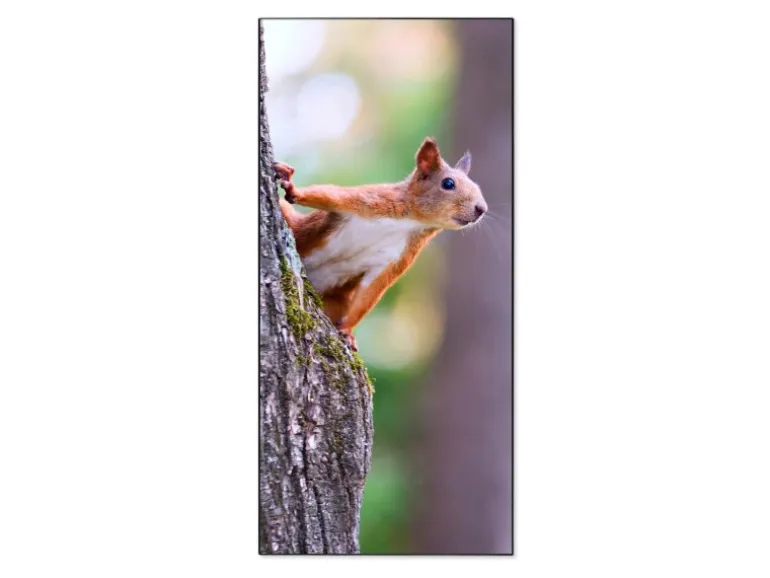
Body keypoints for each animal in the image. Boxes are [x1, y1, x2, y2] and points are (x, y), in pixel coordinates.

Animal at [272, 137, 487, 352]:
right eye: (448, 183)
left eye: (477, 186)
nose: (481, 209)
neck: (412, 221)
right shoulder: (370, 200)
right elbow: (329, 195)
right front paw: (293, 189)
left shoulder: (397, 256)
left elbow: (372, 290)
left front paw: (348, 331)